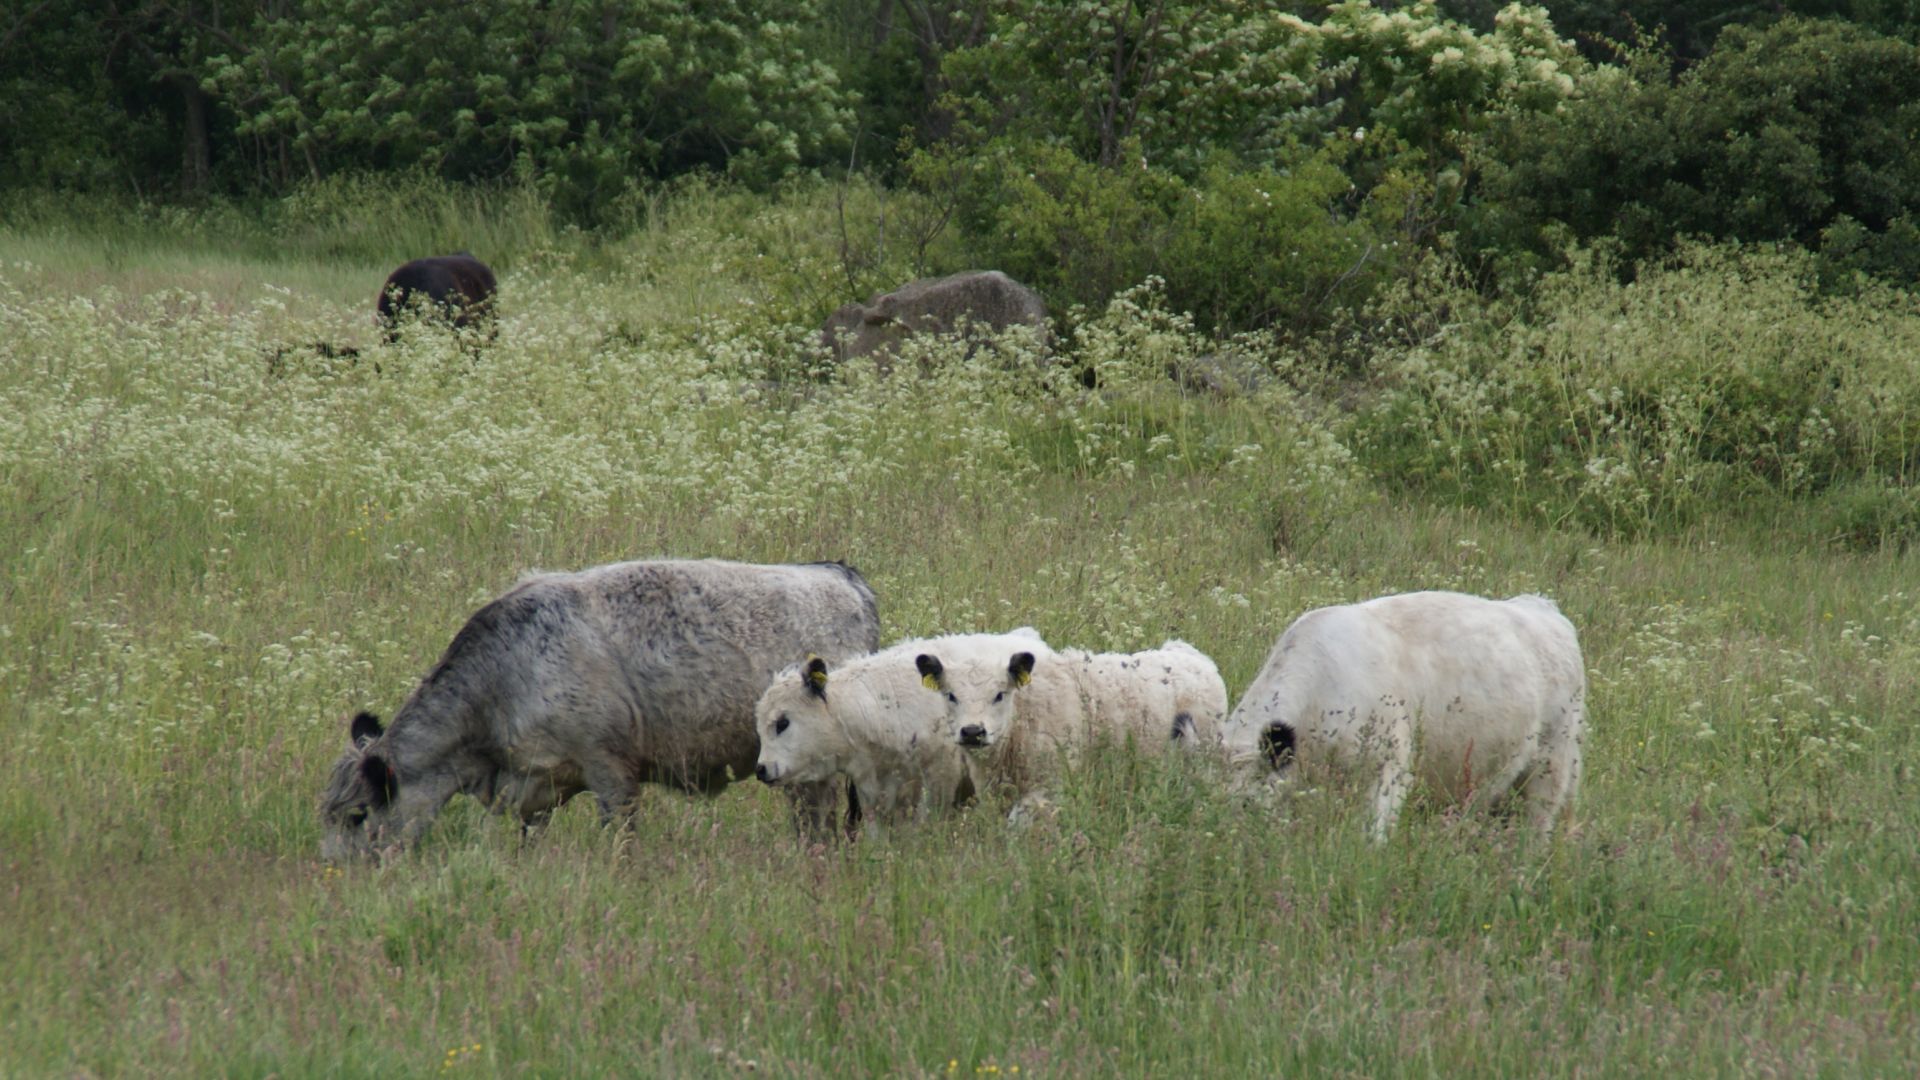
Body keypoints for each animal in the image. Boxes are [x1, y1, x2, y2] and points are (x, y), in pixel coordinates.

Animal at [320, 553, 879, 857]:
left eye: (356, 814)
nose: (337, 873)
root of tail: (842, 576)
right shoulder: (535, 791)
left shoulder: (611, 773)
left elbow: (620, 843)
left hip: (814, 777)